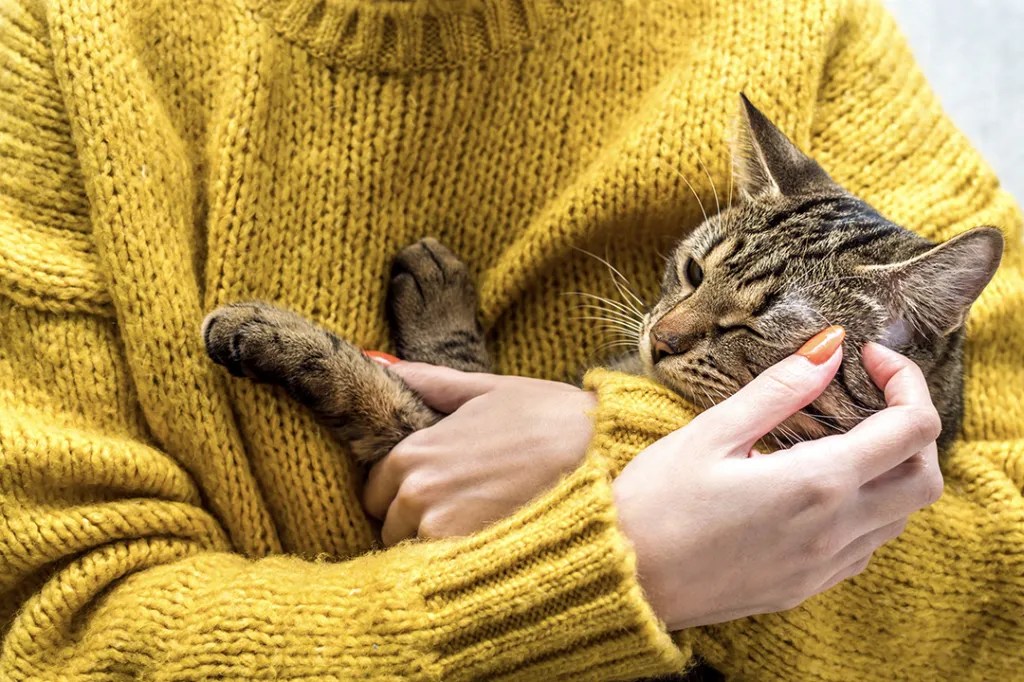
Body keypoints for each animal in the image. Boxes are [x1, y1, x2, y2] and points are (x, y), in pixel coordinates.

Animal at [199, 95, 999, 462]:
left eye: (754, 326)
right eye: (692, 271)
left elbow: (387, 389)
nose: (662, 338)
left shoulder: (431, 438)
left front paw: (268, 331)